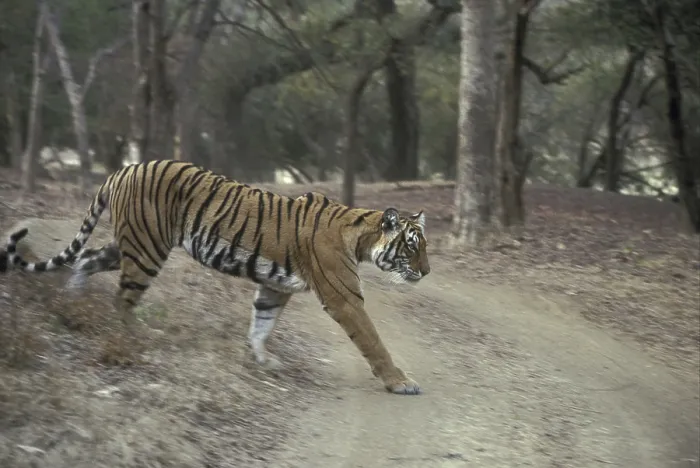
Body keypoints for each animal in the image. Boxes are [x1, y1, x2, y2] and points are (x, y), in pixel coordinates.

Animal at [1, 160, 431, 395]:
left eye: (424, 246)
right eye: (412, 246)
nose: (427, 272)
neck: (361, 236)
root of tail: (125, 168)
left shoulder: (275, 286)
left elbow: (261, 323)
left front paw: (262, 360)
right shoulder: (343, 296)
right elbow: (373, 341)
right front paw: (400, 382)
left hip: (128, 245)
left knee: (86, 260)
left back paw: (72, 305)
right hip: (146, 250)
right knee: (121, 299)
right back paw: (132, 340)